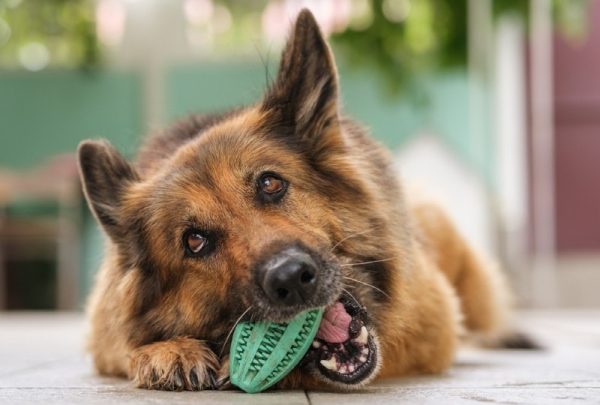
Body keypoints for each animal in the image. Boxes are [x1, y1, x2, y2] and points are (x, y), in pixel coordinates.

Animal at [78, 8, 528, 388]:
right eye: (195, 241)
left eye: (270, 184)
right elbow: (126, 344)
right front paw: (167, 351)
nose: (291, 278)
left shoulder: (433, 324)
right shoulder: (104, 330)